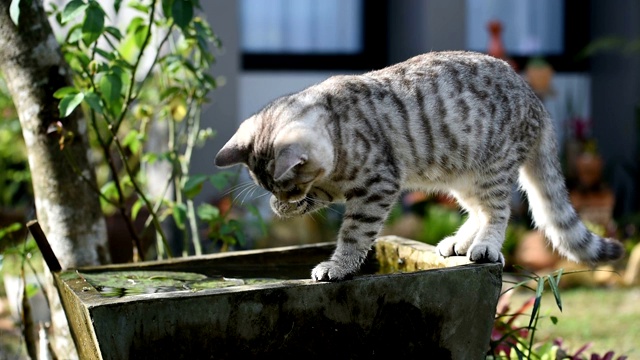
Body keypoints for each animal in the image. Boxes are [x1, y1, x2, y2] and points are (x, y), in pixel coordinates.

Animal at [212, 51, 624, 282]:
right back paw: (459, 241)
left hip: (491, 170)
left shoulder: (376, 186)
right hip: (461, 177)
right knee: (478, 211)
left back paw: (484, 246)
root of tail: (536, 100)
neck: (336, 127)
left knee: (497, 213)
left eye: (292, 185)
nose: (284, 200)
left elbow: (354, 235)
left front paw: (337, 266)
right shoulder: (334, 185)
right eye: (272, 188)